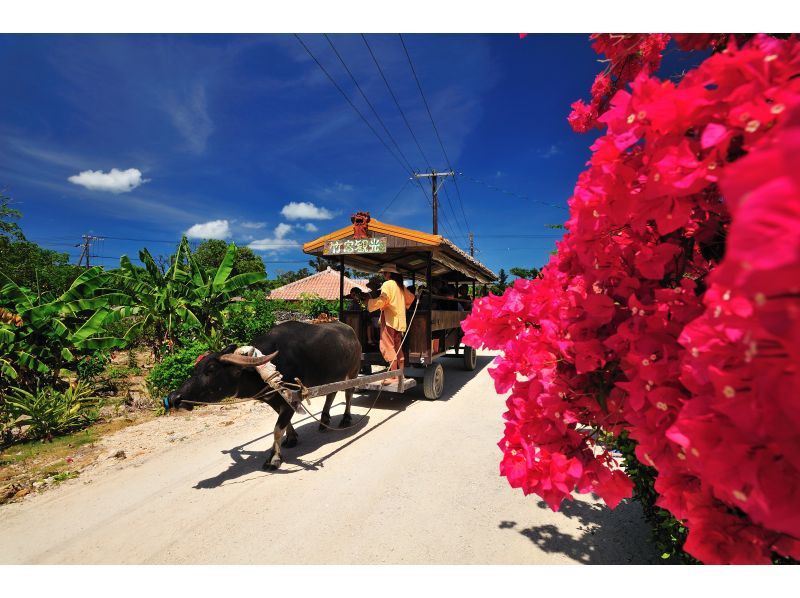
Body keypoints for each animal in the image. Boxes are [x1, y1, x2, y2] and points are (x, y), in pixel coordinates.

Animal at [169, 322, 362, 472]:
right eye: (196, 369)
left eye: (211, 369)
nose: (174, 398)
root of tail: (351, 331)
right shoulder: (274, 400)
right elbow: (283, 424)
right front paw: (291, 438)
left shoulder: (291, 399)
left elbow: (277, 429)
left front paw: (274, 459)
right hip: (334, 377)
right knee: (332, 394)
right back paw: (324, 420)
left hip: (353, 372)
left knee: (348, 394)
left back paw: (345, 419)